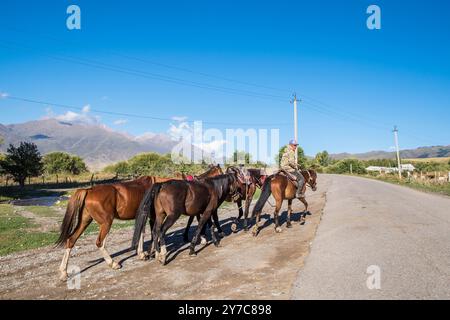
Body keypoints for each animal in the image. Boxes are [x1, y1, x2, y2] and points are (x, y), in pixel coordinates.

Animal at [56, 165, 223, 280]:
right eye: (222, 173)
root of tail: (88, 190)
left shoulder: (148, 216)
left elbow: (145, 233)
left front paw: (143, 253)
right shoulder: (153, 216)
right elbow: (153, 232)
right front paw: (153, 253)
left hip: (85, 220)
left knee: (71, 240)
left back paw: (63, 272)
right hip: (106, 222)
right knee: (99, 243)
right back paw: (113, 263)